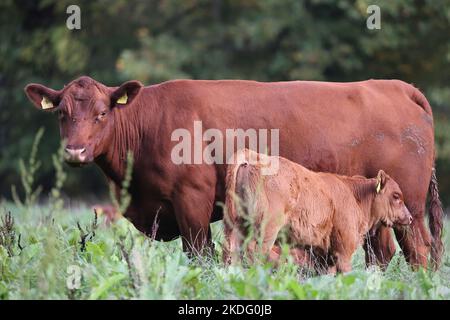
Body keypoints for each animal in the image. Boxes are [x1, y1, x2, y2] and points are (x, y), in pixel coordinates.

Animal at [223, 149, 414, 272]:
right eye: (396, 195)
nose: (410, 218)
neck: (355, 196)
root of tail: (253, 158)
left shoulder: (325, 254)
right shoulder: (344, 251)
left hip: (238, 225)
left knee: (234, 251)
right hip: (267, 229)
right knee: (256, 251)